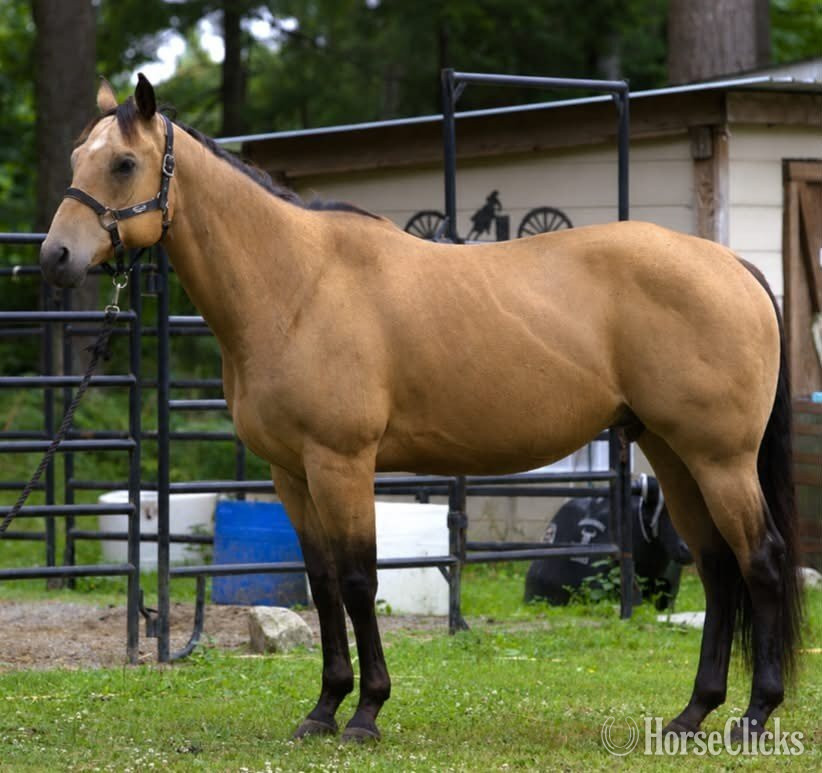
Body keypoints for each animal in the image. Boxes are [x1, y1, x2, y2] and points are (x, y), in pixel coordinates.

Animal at [40, 74, 802, 743]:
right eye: (76, 158)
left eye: (125, 162)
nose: (54, 257)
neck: (299, 284)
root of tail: (733, 266)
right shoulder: (292, 473)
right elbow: (320, 583)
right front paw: (323, 709)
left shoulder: (342, 463)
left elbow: (357, 580)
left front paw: (365, 713)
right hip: (673, 454)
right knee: (718, 568)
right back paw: (692, 713)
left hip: (719, 458)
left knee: (761, 561)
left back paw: (755, 715)